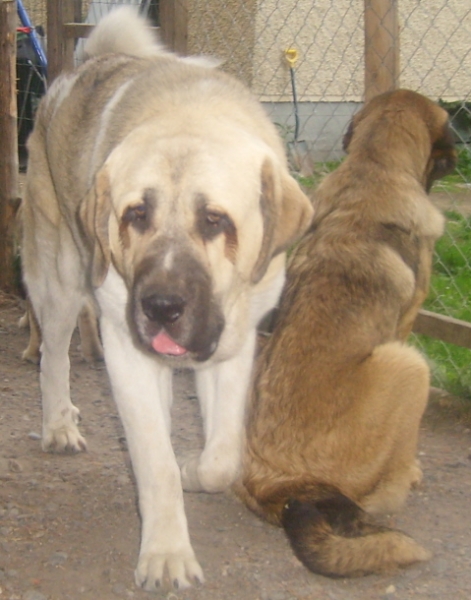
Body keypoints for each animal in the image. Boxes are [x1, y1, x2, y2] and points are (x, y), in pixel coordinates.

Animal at [21, 8, 314, 592]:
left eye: (215, 220)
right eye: (136, 214)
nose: (160, 307)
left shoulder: (235, 343)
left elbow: (223, 456)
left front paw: (193, 469)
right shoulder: (127, 351)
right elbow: (153, 461)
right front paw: (166, 555)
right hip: (61, 277)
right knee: (53, 355)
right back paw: (59, 424)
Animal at [240, 89, 458, 576]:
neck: (375, 166)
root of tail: (275, 482)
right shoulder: (406, 324)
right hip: (408, 365)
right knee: (384, 489)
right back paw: (405, 480)